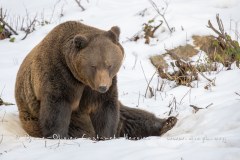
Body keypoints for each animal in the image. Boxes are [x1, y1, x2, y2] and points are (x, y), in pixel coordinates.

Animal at [14, 21, 176, 139]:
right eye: (93, 65)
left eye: (109, 64)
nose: (102, 86)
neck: (80, 78)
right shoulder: (59, 76)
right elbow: (57, 108)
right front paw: (57, 135)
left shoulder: (102, 86)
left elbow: (105, 109)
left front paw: (105, 136)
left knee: (132, 116)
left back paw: (168, 122)